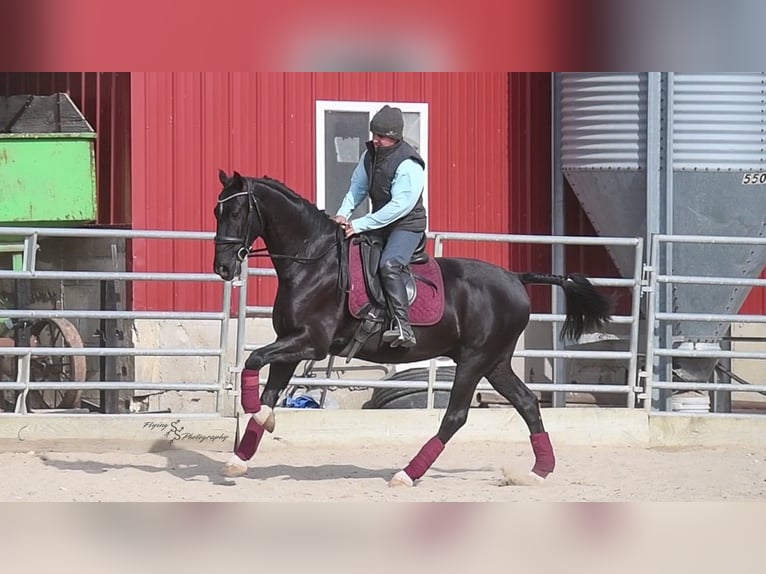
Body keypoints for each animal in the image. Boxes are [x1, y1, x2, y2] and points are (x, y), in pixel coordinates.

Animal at [213, 170, 613, 486]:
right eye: (217, 211)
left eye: (236, 211)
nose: (222, 268)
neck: (313, 262)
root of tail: (517, 278)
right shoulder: (291, 345)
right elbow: (268, 390)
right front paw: (241, 453)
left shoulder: (310, 343)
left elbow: (253, 360)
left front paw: (253, 412)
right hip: (496, 363)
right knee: (528, 403)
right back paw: (537, 471)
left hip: (474, 361)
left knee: (455, 417)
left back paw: (407, 474)